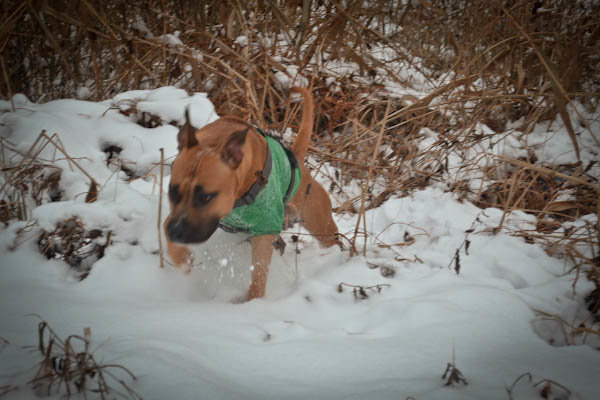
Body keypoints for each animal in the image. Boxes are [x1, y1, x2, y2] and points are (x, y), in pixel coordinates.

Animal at [164, 87, 340, 300]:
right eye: (172, 191)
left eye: (206, 197)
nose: (176, 232)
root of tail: (296, 159)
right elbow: (165, 226)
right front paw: (182, 259)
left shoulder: (265, 230)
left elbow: (259, 273)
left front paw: (252, 302)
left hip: (320, 224)